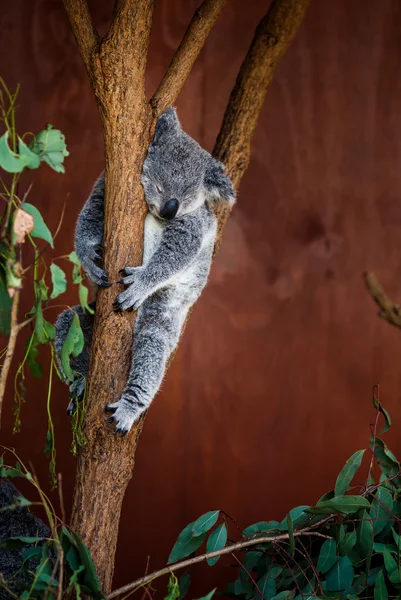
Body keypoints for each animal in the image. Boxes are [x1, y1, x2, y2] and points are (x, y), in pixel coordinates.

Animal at [53, 108, 234, 434]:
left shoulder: (195, 223)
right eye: (161, 187)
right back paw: (80, 385)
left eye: (187, 198)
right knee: (68, 324)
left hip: (162, 313)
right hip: (80, 326)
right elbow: (90, 214)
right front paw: (92, 262)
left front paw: (137, 284)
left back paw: (128, 408)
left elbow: (177, 252)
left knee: (152, 344)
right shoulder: (104, 187)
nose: (169, 210)